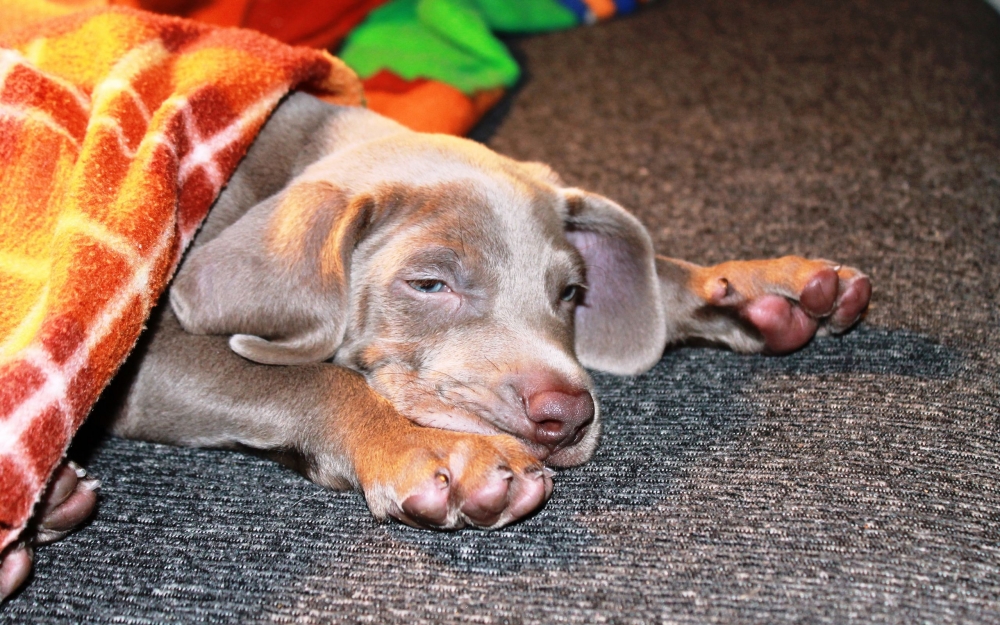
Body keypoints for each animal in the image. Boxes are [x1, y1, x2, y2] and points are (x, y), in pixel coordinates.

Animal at [1, 91, 868, 596]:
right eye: (428, 285)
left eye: (572, 293)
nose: (565, 414)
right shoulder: (138, 352)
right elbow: (306, 377)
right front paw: (434, 451)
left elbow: (659, 275)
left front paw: (759, 291)